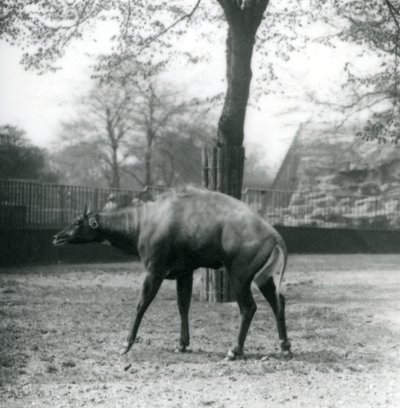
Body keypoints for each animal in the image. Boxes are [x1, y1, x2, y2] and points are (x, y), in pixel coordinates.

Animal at [53, 186, 290, 358]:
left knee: (249, 308)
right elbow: (183, 305)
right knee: (278, 301)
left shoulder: (155, 271)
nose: (57, 237)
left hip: (239, 276)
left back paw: (234, 350)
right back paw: (285, 346)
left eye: (77, 221)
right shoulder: (184, 273)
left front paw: (126, 345)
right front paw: (182, 344)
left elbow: (141, 305)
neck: (145, 220)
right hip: (263, 277)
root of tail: (275, 236)